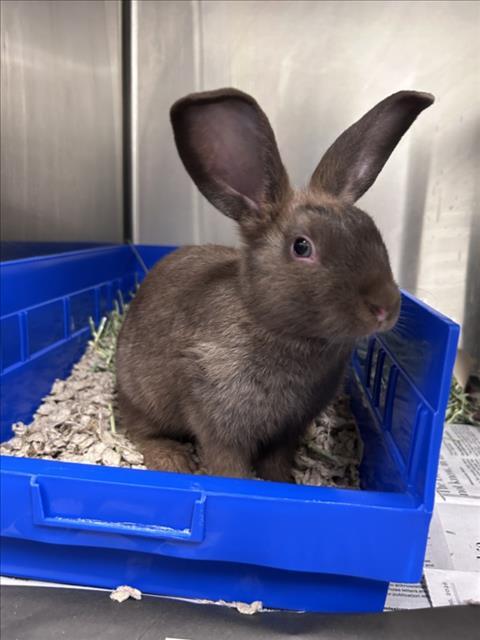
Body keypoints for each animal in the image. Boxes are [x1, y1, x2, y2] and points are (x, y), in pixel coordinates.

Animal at [116, 87, 434, 482]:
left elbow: (277, 459)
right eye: (302, 247)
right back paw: (172, 460)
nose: (385, 308)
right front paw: (239, 484)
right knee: (140, 430)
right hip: (143, 397)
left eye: (371, 230)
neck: (272, 325)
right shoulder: (218, 422)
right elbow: (228, 463)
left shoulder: (289, 428)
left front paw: (285, 482)